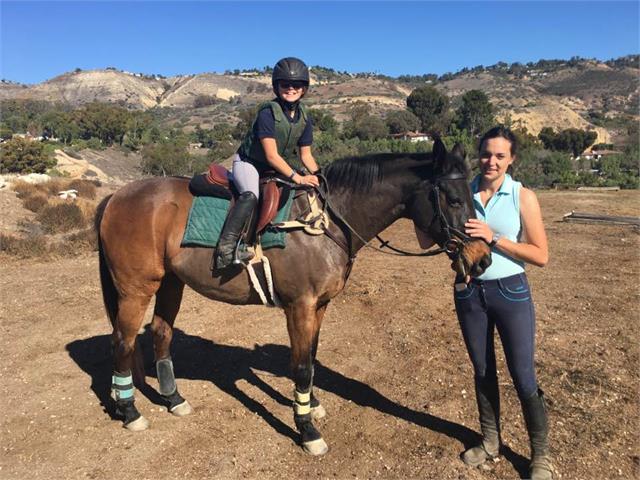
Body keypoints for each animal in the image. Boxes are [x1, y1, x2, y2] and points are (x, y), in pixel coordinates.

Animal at [96, 138, 490, 454]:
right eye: (454, 199)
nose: (482, 258)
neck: (326, 222)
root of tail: (116, 196)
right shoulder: (300, 306)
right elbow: (301, 365)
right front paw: (308, 431)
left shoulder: (320, 306)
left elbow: (310, 357)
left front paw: (310, 404)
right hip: (136, 289)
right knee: (122, 342)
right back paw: (130, 411)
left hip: (169, 283)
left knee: (160, 334)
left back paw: (174, 399)